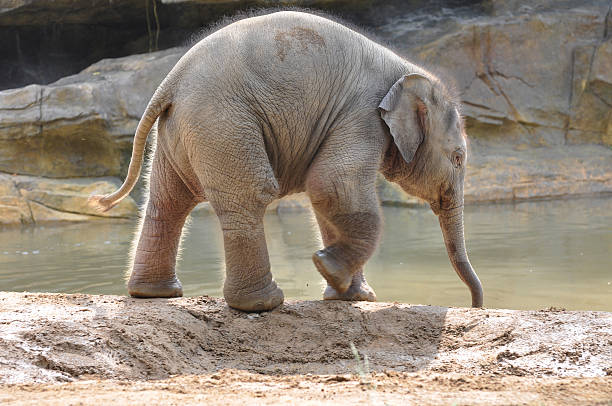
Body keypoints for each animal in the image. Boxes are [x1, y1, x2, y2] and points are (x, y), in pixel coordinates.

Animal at [89, 11, 482, 310]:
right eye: (458, 157)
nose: (475, 304)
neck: (405, 69)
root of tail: (170, 81)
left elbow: (326, 197)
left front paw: (351, 296)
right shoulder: (361, 115)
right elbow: (332, 185)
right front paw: (327, 269)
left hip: (179, 130)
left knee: (167, 201)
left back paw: (154, 294)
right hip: (222, 123)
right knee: (249, 196)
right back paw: (262, 304)